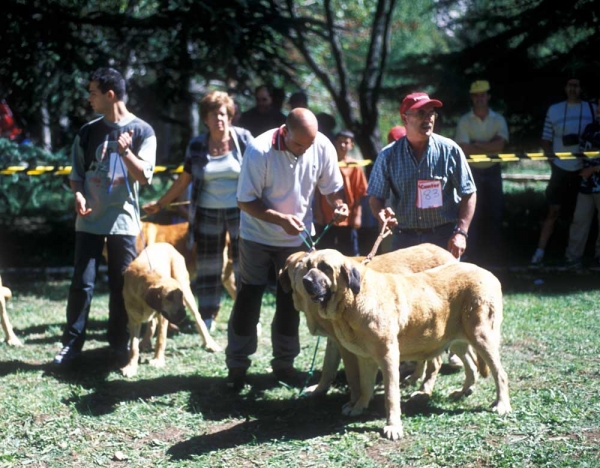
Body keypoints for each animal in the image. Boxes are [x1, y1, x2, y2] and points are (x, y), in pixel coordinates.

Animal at [120, 241, 221, 376]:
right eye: (169, 297)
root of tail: (165, 244)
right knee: (152, 324)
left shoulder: (163, 316)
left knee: (198, 319)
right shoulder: (134, 320)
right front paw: (130, 367)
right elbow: (133, 347)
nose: (183, 315)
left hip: (186, 289)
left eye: (180, 296)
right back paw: (145, 342)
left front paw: (158, 361)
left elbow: (161, 339)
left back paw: (210, 344)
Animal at [298, 250, 508, 440]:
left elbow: (391, 395)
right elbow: (366, 386)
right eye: (307, 266)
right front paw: (359, 406)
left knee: (500, 373)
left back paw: (502, 405)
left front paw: (393, 427)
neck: (353, 299)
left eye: (325, 267)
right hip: (456, 339)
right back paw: (461, 393)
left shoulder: (388, 356)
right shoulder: (365, 358)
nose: (306, 281)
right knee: (471, 365)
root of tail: (489, 274)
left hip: (482, 336)